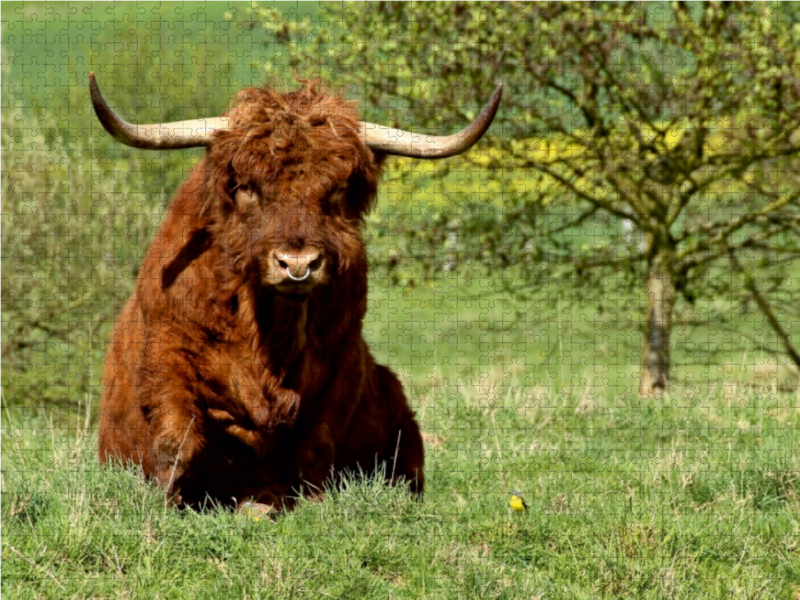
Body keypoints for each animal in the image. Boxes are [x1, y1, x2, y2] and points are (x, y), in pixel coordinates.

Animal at [94, 70, 500, 510]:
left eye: (338, 189)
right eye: (246, 186)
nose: (298, 263)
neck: (271, 333)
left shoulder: (344, 361)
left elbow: (317, 446)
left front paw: (315, 505)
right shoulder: (167, 352)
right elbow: (175, 438)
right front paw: (161, 506)